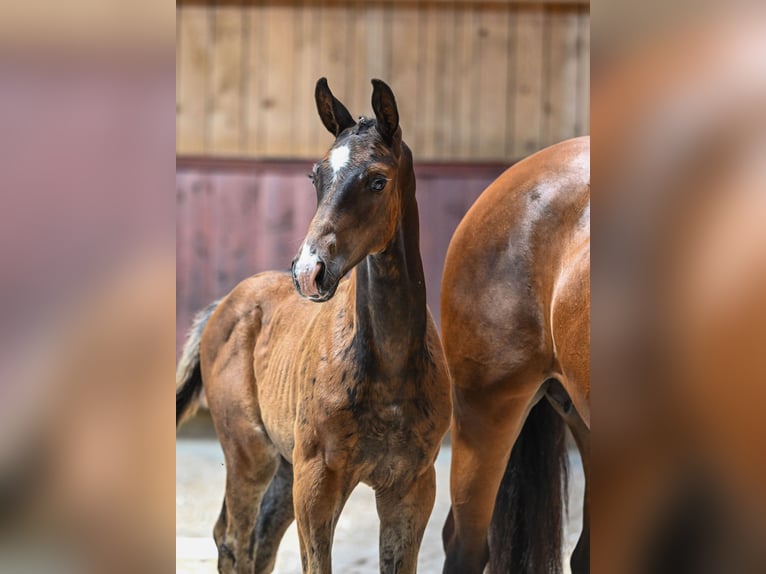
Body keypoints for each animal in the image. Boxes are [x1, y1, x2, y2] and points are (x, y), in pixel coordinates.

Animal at [176, 77, 450, 574]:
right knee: (234, 539)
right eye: (315, 177)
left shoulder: (412, 485)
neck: (390, 366)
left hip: (285, 466)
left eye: (377, 180)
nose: (308, 271)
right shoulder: (318, 480)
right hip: (251, 454)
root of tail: (224, 304)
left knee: (258, 540)